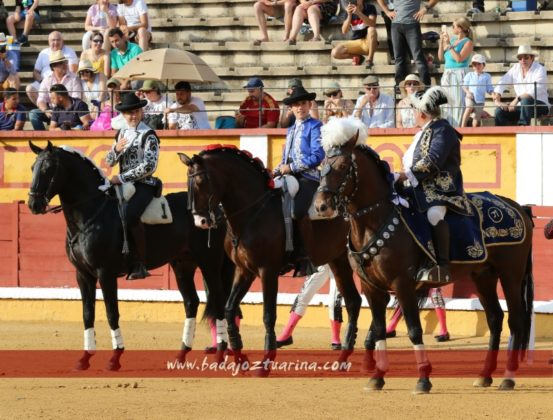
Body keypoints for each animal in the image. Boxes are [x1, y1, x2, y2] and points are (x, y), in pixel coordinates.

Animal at [28, 142, 233, 370]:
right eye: (32, 168)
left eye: (48, 169)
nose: (33, 205)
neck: (91, 214)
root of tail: (216, 211)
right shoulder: (82, 274)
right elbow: (87, 313)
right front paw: (84, 358)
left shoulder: (105, 273)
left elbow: (111, 312)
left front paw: (115, 358)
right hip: (182, 265)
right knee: (191, 302)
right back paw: (181, 355)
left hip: (209, 263)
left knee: (218, 300)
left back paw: (220, 354)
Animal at [179, 144, 364, 374]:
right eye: (188, 182)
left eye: (201, 181)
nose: (201, 221)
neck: (252, 212)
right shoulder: (244, 270)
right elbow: (230, 308)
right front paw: (239, 356)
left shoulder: (268, 271)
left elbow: (268, 314)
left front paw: (266, 362)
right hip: (338, 261)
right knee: (354, 301)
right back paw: (344, 356)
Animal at [314, 117, 536, 394]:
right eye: (321, 166)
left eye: (343, 165)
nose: (321, 206)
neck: (373, 222)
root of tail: (518, 207)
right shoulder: (371, 288)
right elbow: (379, 330)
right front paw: (377, 377)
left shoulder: (403, 284)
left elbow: (414, 330)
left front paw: (423, 379)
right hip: (482, 276)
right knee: (495, 318)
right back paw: (485, 375)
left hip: (511, 274)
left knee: (516, 320)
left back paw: (508, 377)